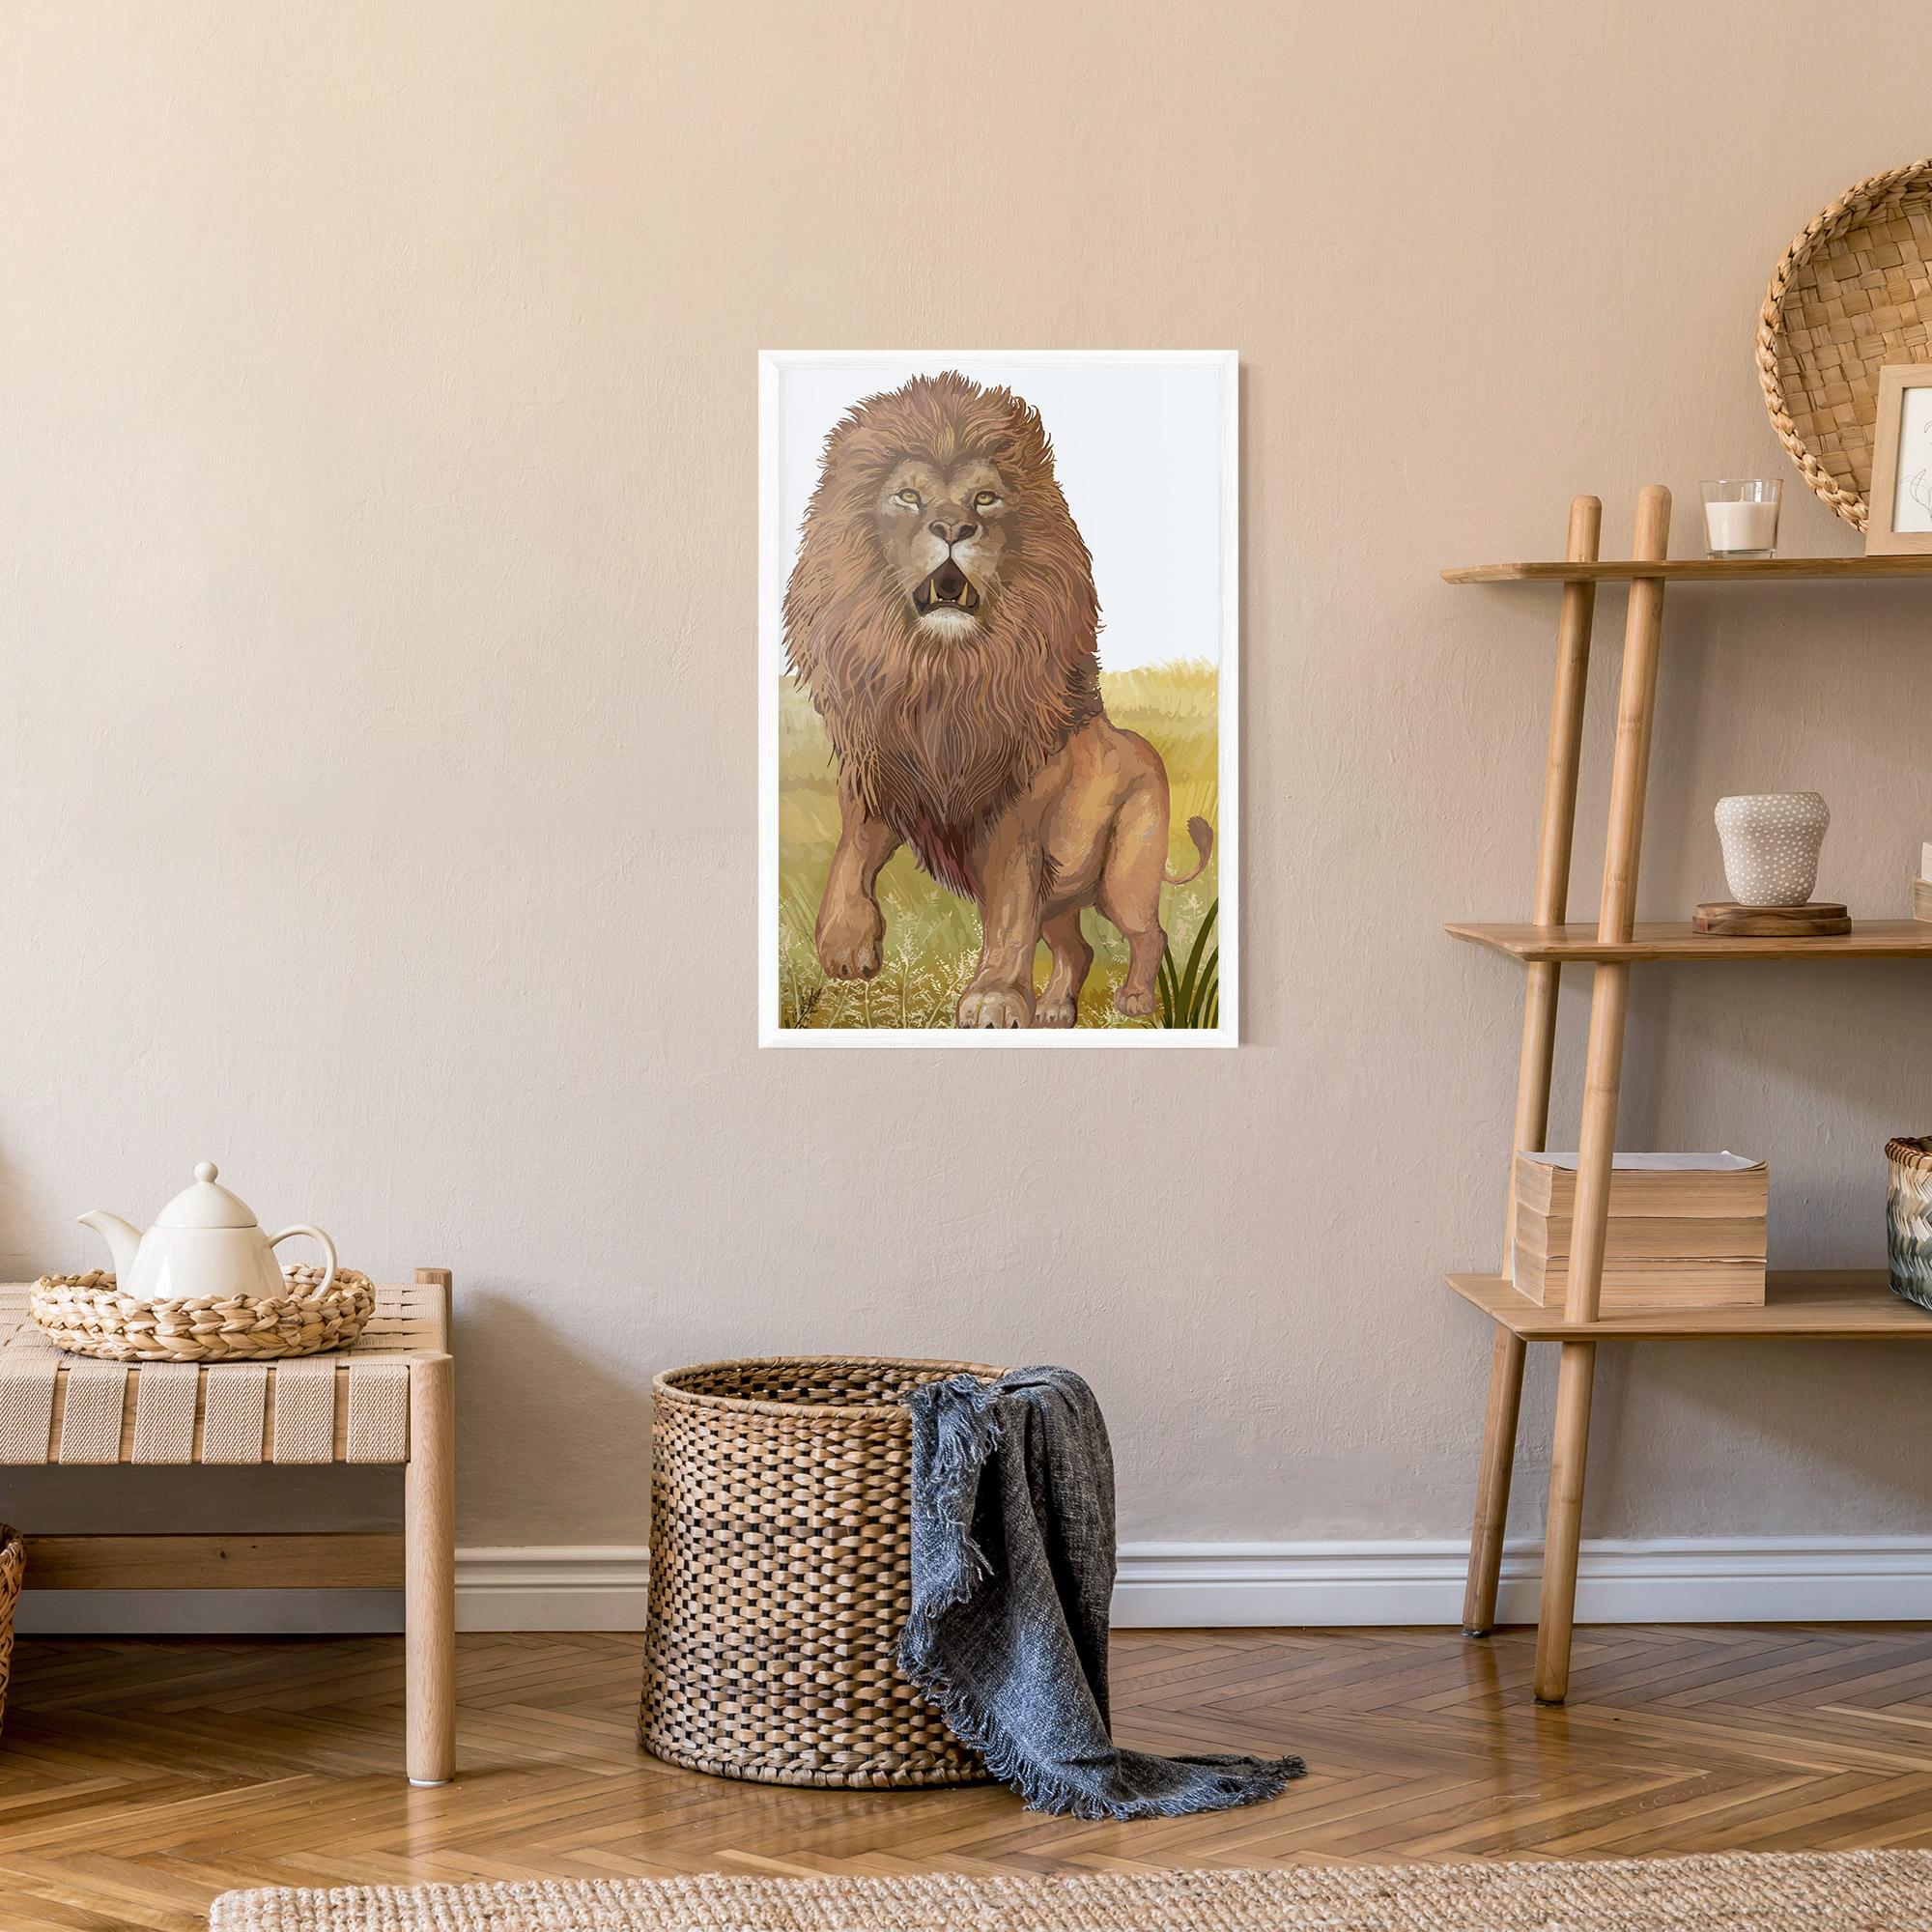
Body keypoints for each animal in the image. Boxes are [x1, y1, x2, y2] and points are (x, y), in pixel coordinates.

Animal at [783, 370, 1211, 1030]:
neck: (942, 675)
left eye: (985, 499)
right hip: (1066, 896)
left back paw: (1138, 999)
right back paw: (1057, 1010)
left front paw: (993, 999)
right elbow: (851, 851)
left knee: (1147, 933)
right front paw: (844, 944)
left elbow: (1008, 911)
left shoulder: (1015, 812)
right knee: (1078, 947)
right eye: (908, 497)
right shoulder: (886, 767)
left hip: (1124, 874)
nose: (953, 529)